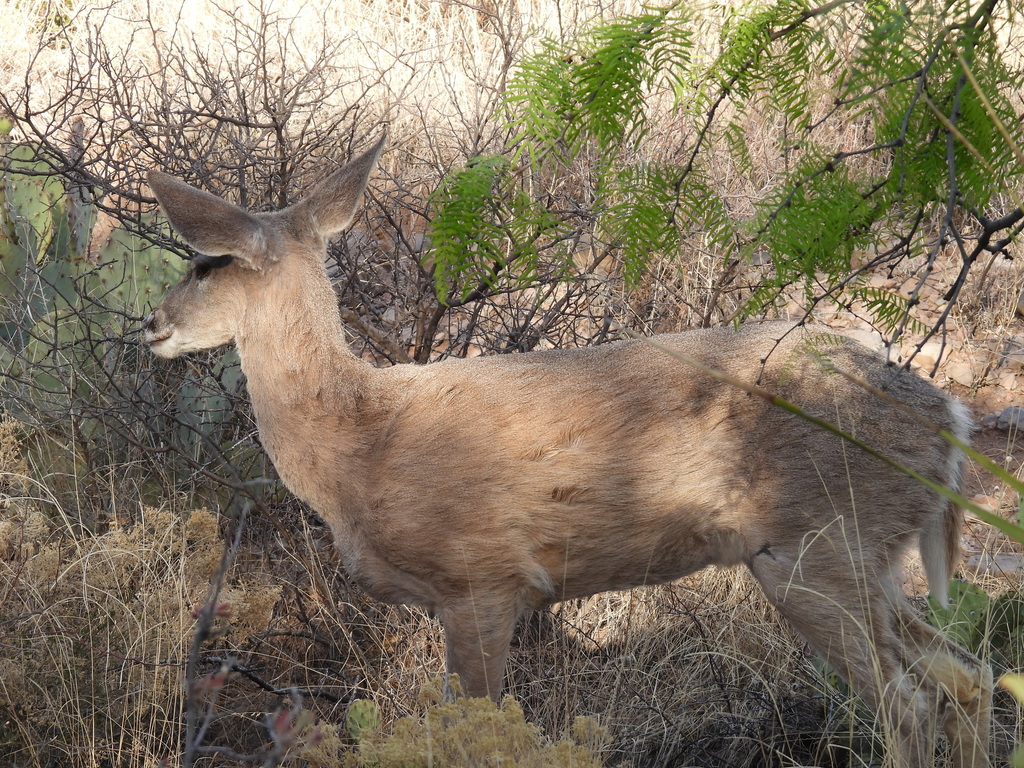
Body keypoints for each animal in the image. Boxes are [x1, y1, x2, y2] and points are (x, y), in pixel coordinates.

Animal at [142, 135, 992, 768]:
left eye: (206, 262)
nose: (150, 324)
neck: (360, 444)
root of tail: (949, 416)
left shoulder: (481, 581)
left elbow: (474, 738)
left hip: (817, 547)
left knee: (910, 705)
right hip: (865, 556)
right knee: (968, 677)